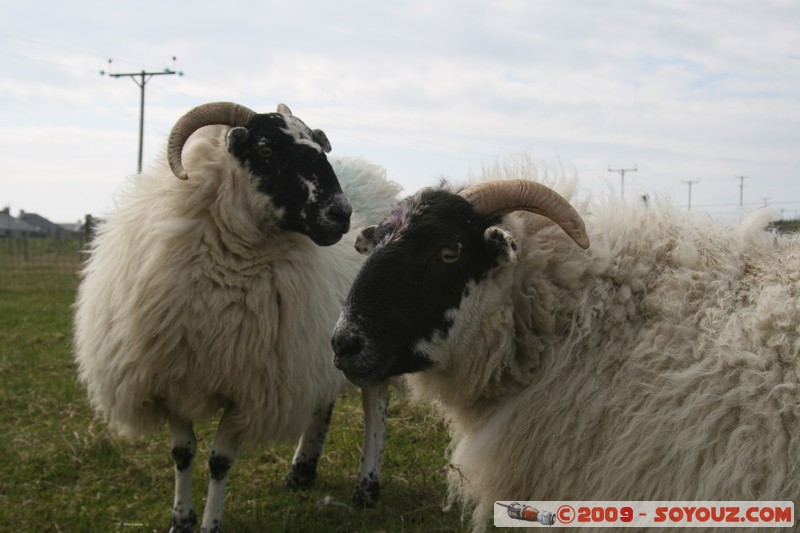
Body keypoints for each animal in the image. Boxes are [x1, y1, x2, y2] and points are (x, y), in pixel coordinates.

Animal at [74, 102, 400, 533]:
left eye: (319, 147)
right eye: (265, 149)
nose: (341, 214)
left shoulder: (246, 389)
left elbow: (219, 460)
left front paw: (210, 524)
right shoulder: (171, 377)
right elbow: (182, 453)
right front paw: (181, 521)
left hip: (368, 338)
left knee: (375, 403)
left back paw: (366, 486)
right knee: (322, 400)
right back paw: (301, 471)